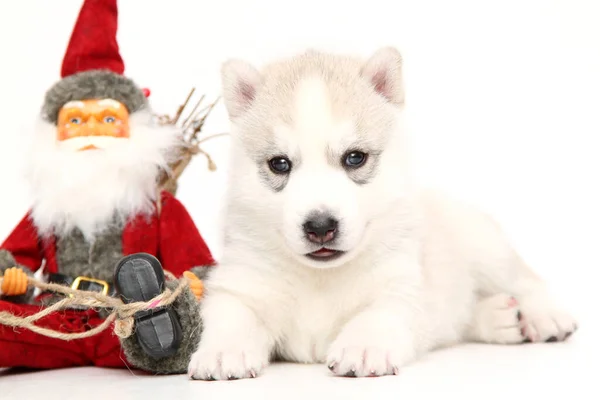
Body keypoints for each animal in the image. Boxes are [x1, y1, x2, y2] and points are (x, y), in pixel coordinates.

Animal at [188, 47, 576, 378]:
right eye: (280, 164)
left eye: (355, 158)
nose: (320, 226)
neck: (320, 279)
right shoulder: (240, 283)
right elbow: (232, 315)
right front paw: (222, 352)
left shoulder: (401, 287)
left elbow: (378, 314)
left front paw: (362, 347)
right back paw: (500, 319)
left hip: (484, 247)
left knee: (525, 279)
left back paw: (544, 316)